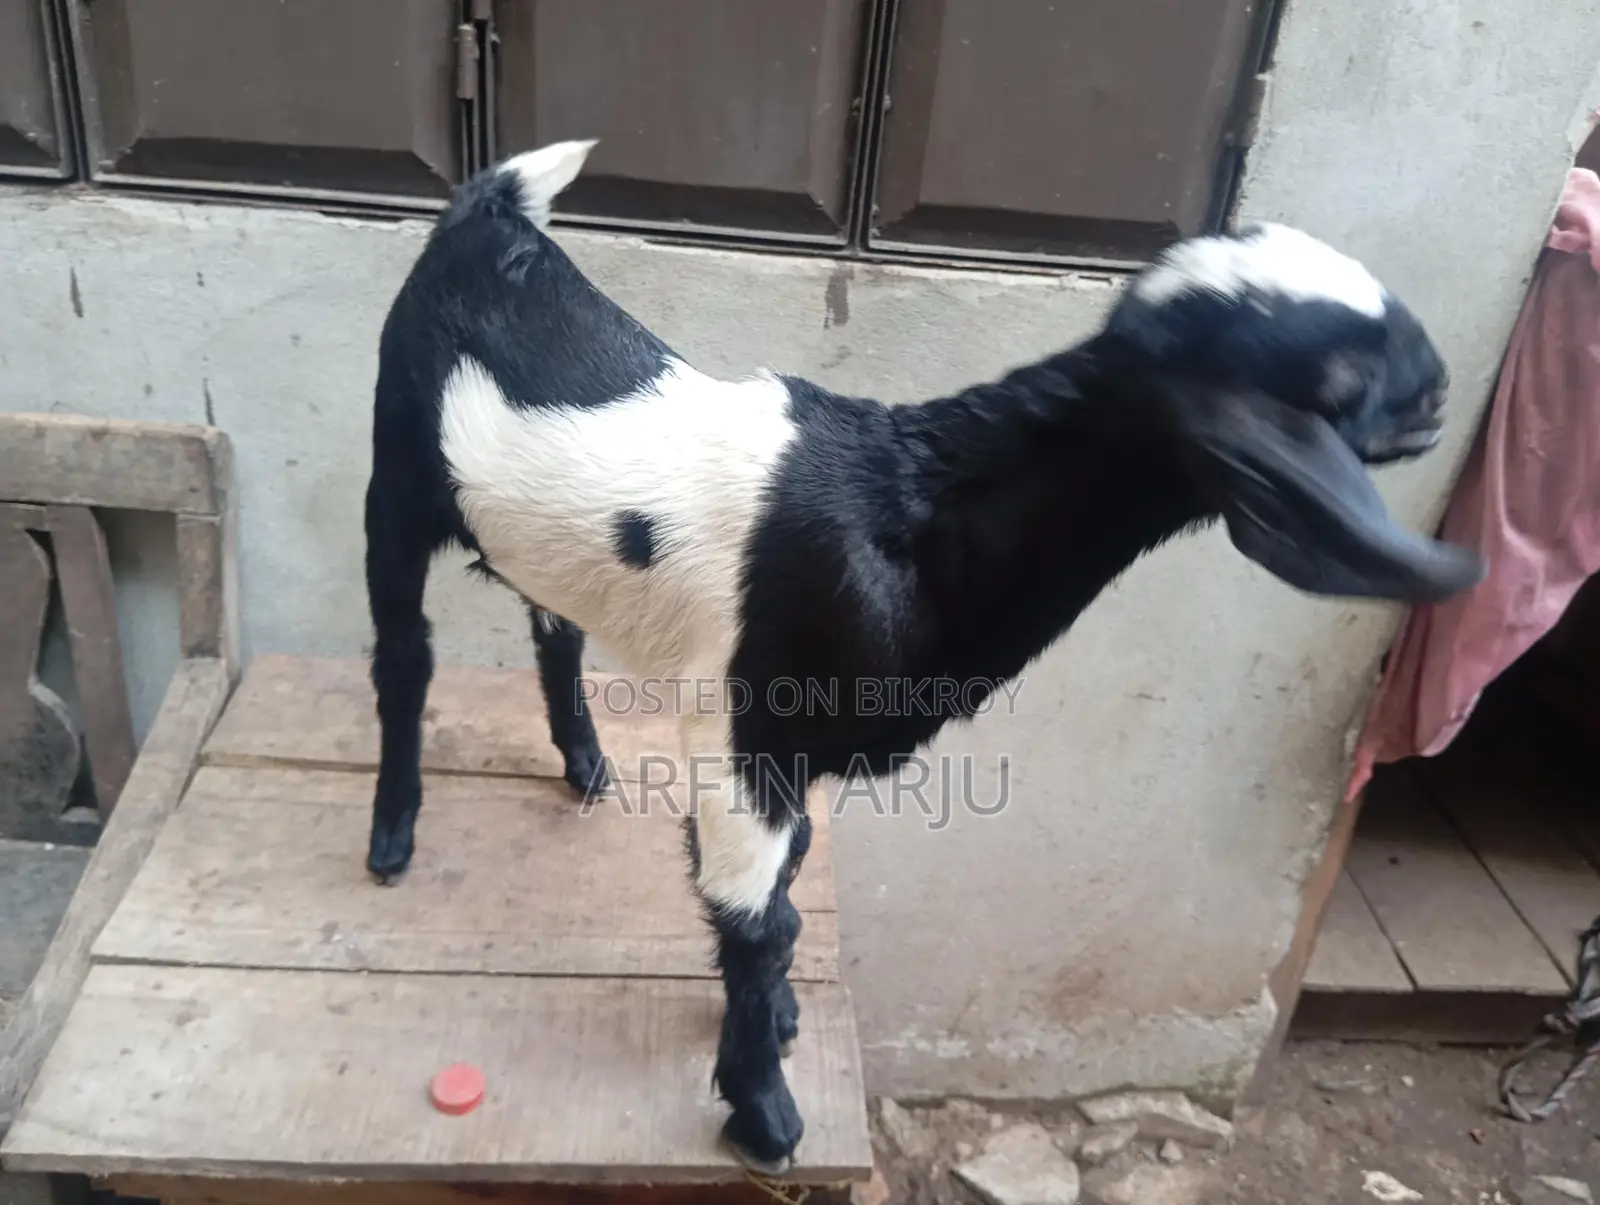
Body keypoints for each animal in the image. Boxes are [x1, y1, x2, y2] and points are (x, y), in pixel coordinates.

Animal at [362, 139, 1483, 1174]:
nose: (1438, 393)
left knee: (551, 621)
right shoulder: (746, 735)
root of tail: (487, 216)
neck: (912, 514)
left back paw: (587, 763)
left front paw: (776, 1026)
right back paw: (392, 836)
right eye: (1336, 380)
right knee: (404, 659)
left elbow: (790, 879)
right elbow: (755, 918)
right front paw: (763, 1111)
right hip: (396, 478)